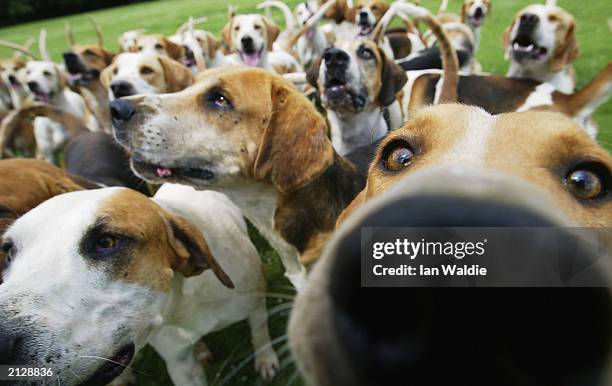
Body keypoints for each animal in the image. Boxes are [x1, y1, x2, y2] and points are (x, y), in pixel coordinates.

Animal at [0, 184, 280, 386]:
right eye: (8, 253)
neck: (183, 303)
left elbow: (261, 333)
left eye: (107, 242)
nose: (2, 340)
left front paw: (266, 361)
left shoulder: (255, 303)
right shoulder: (180, 363)